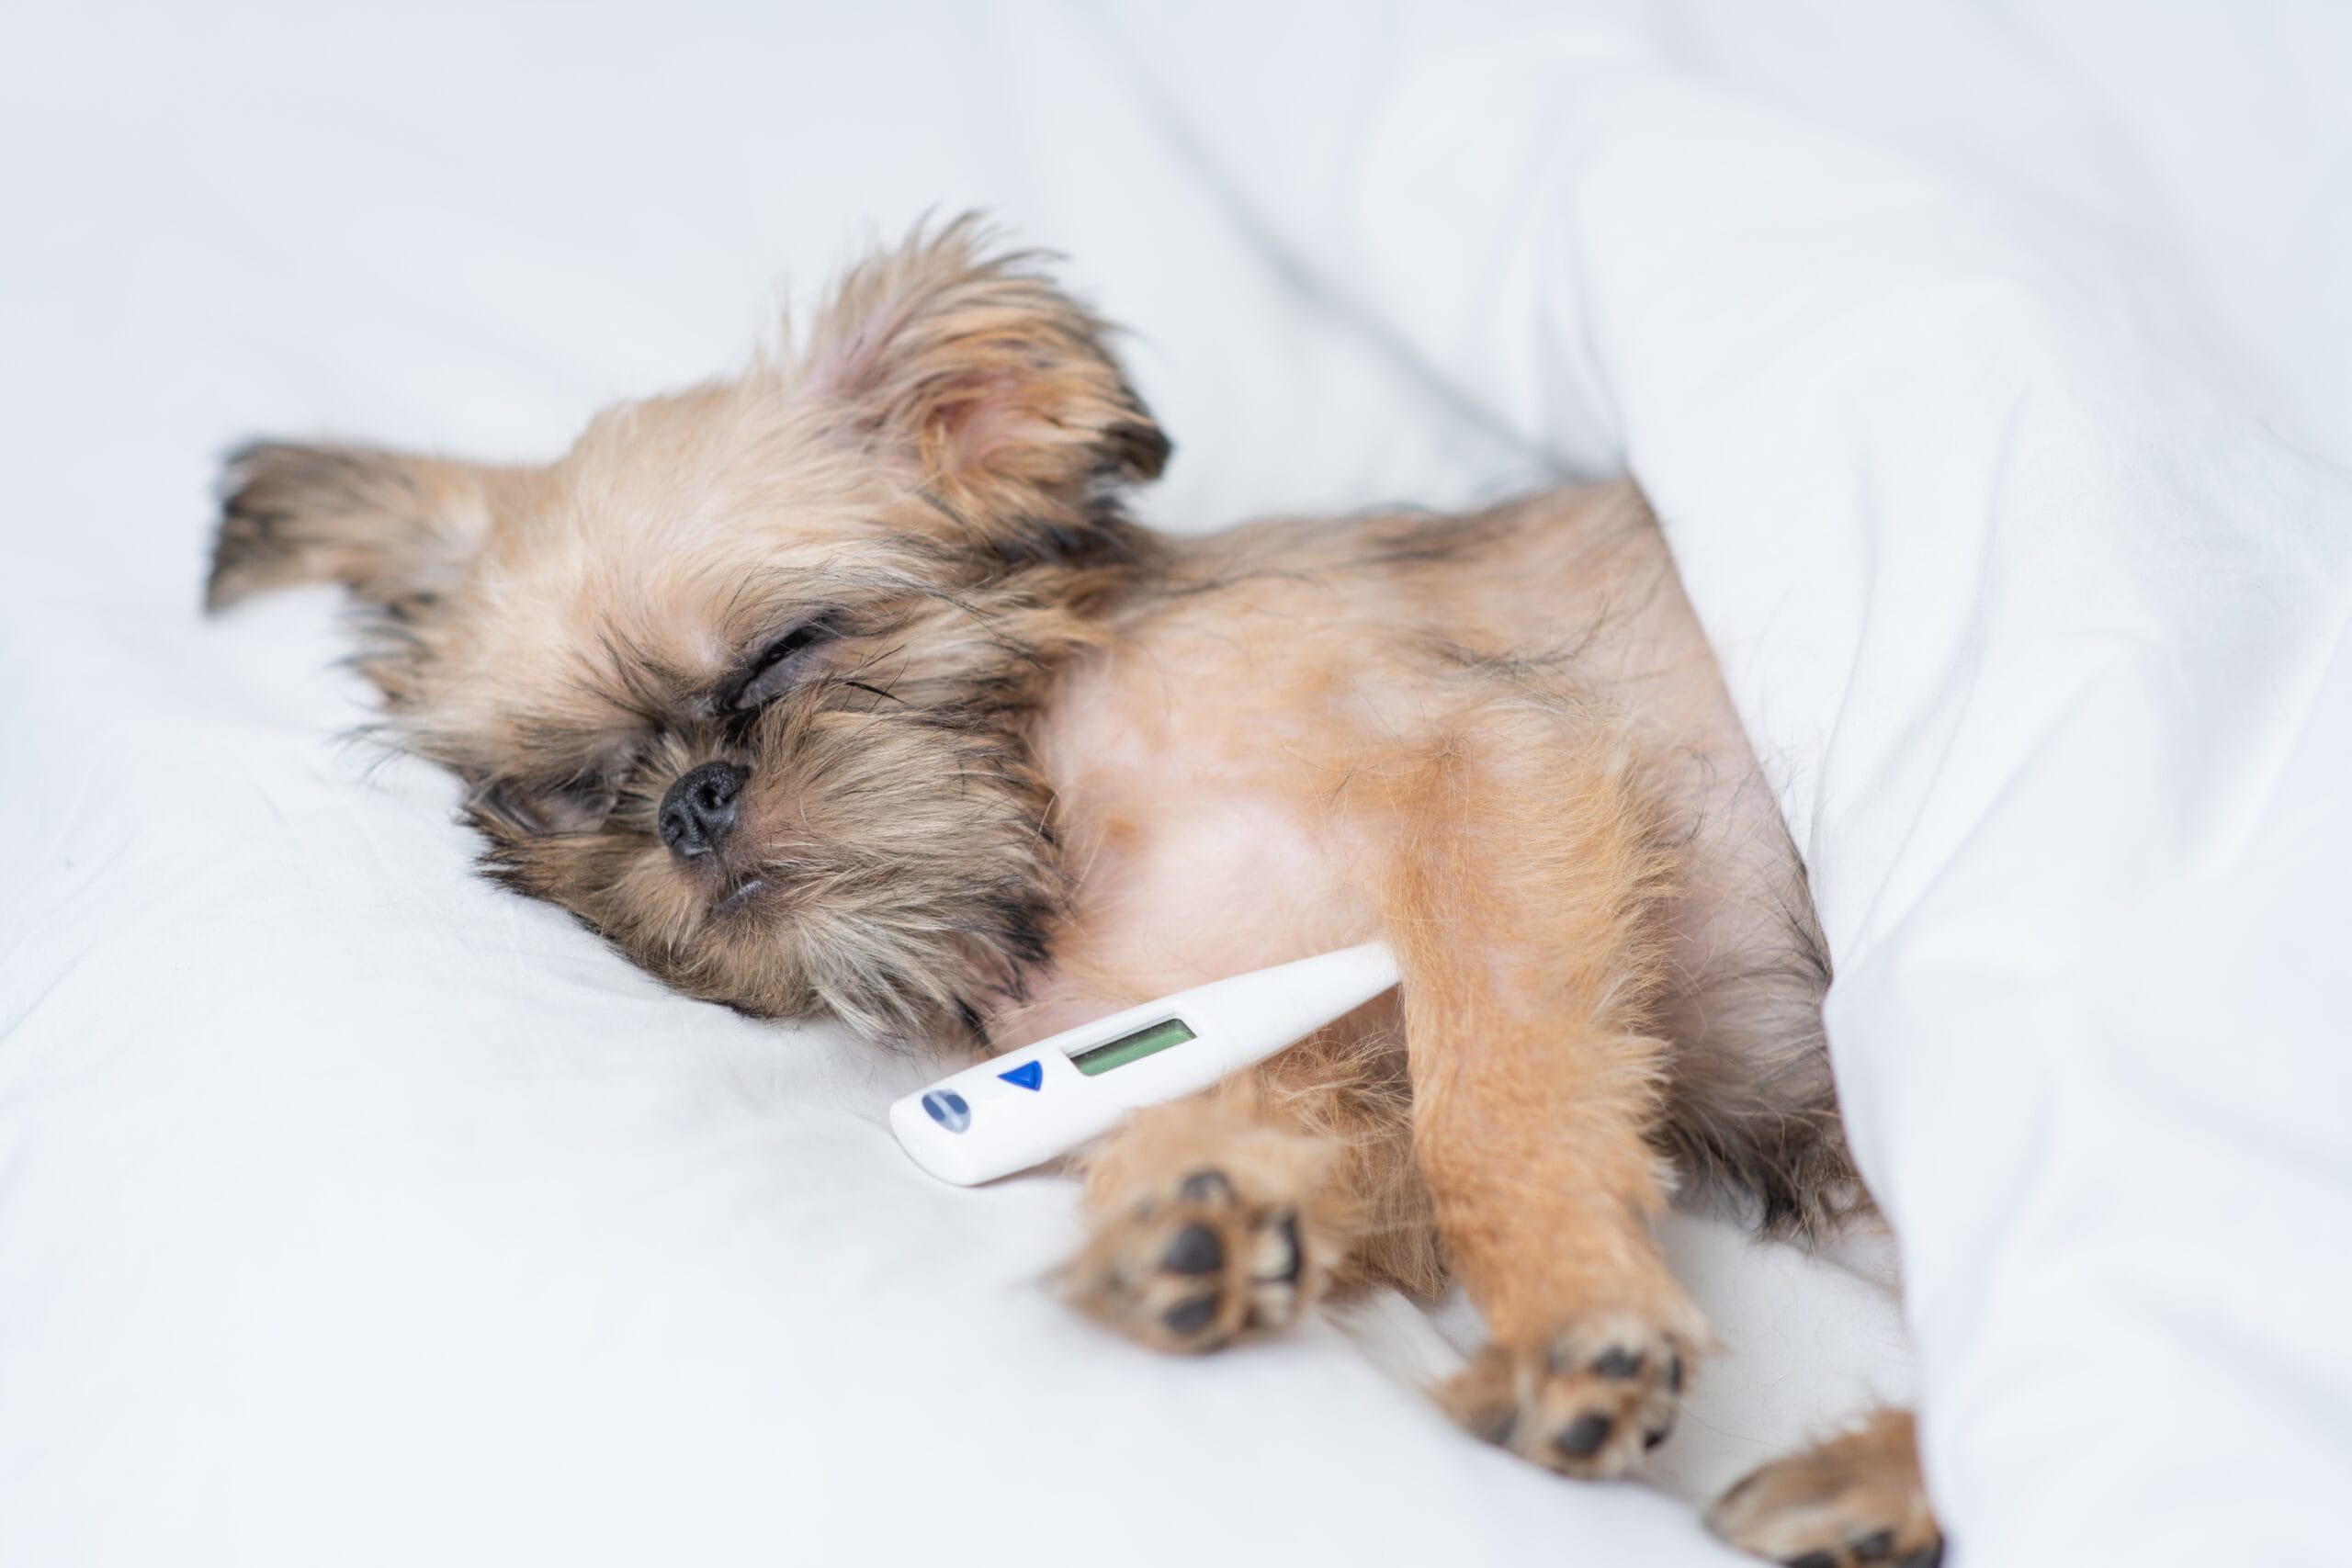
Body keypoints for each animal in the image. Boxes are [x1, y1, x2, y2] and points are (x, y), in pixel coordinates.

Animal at [202, 220, 1938, 1568]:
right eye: (568, 789)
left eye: (787, 651)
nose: (691, 797)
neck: (1058, 837)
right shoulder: (1288, 1050)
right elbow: (1320, 1132)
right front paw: (1208, 1218)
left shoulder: (1488, 777)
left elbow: (1495, 1101)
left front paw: (1566, 1314)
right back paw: (1859, 1491)